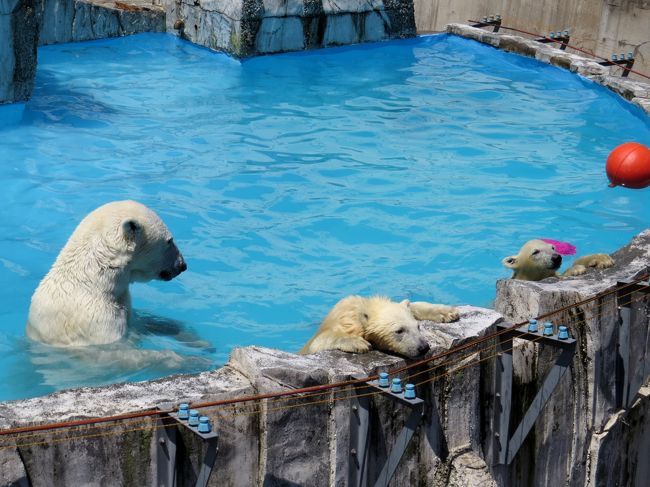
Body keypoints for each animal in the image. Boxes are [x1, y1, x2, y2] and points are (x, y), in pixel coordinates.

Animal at [298, 296, 456, 356]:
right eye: (399, 331)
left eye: (417, 327)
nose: (423, 348)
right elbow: (317, 342)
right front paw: (359, 343)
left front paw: (449, 312)